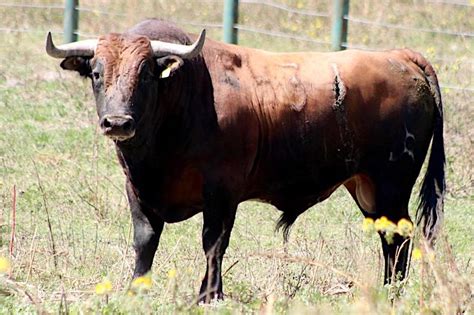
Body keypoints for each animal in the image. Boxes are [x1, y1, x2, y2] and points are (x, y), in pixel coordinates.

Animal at [45, 19, 444, 304]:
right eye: (97, 73)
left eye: (145, 74)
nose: (117, 122)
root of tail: (400, 56)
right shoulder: (137, 190)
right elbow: (145, 240)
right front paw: (136, 289)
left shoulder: (222, 192)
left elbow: (213, 242)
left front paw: (209, 295)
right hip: (367, 187)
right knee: (389, 237)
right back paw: (388, 290)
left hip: (391, 183)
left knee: (400, 237)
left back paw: (393, 293)